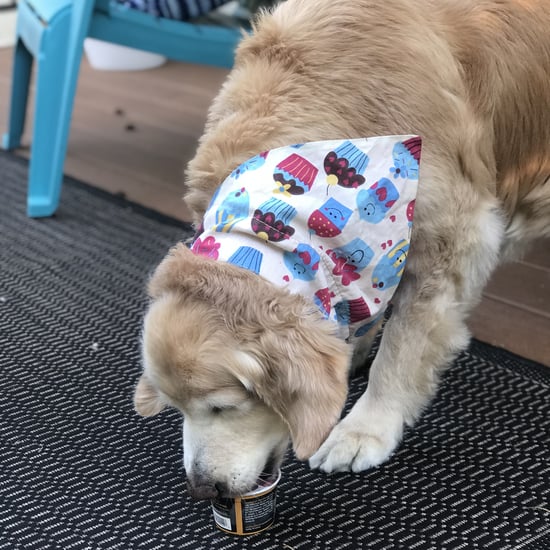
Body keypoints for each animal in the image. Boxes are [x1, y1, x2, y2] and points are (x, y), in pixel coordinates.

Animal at [134, 0, 550, 500]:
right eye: (176, 407)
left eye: (224, 406)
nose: (203, 489)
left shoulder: (454, 239)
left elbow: (401, 351)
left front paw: (364, 429)